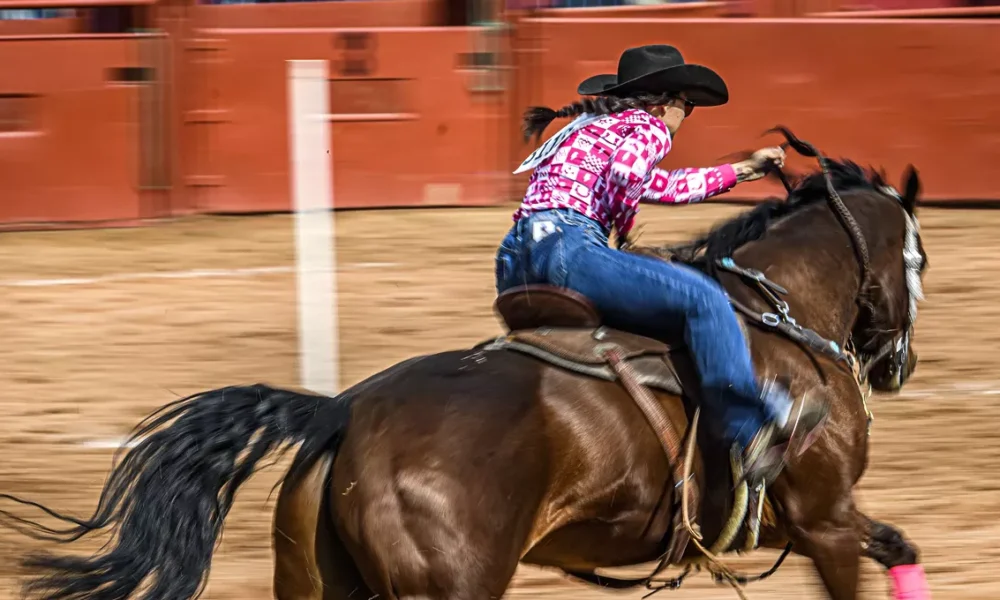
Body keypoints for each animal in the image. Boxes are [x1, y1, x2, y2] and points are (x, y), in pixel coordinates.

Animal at [3, 131, 932, 600]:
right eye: (919, 257)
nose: (900, 364)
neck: (779, 319)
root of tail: (340, 413)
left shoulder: (810, 522)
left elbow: (901, 543)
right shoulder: (823, 520)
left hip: (315, 581)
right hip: (451, 586)